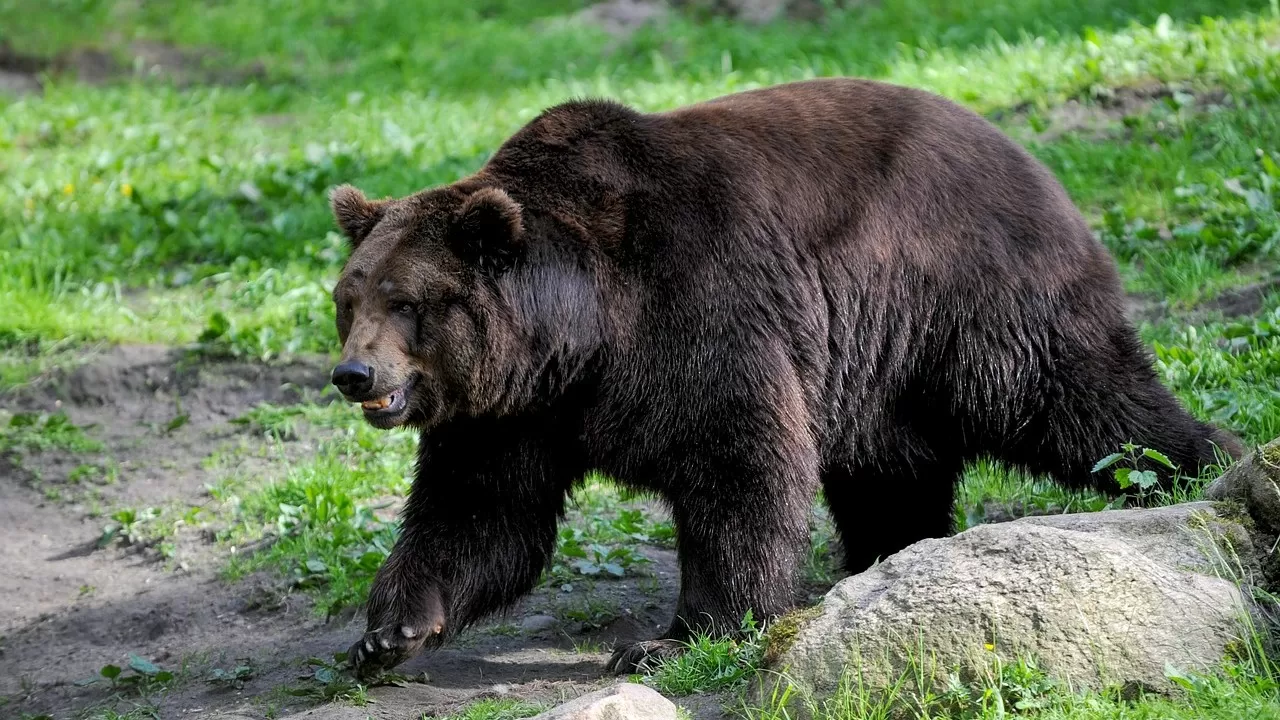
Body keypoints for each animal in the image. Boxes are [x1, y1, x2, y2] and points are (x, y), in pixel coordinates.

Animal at [325, 75, 1244, 676]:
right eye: (348, 297)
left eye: (408, 301)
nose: (353, 374)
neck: (577, 337)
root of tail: (1030, 158)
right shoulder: (513, 412)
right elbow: (482, 513)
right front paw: (387, 632)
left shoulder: (696, 309)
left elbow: (739, 464)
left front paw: (669, 637)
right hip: (880, 365)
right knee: (890, 470)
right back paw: (882, 556)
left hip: (972, 299)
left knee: (1084, 406)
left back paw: (1203, 466)